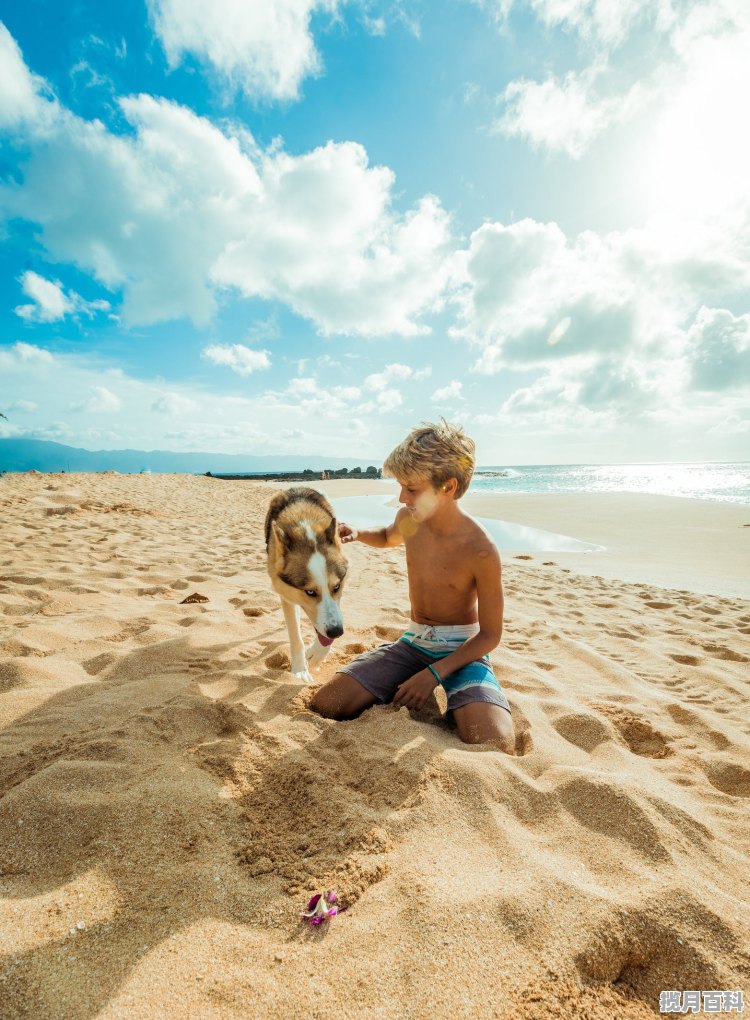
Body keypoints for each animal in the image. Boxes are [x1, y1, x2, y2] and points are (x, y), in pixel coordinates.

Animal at [263, 487, 348, 681]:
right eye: (310, 592)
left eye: (336, 587)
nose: (337, 632)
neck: (305, 527)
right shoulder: (286, 594)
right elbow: (296, 637)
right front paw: (300, 669)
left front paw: (317, 655)